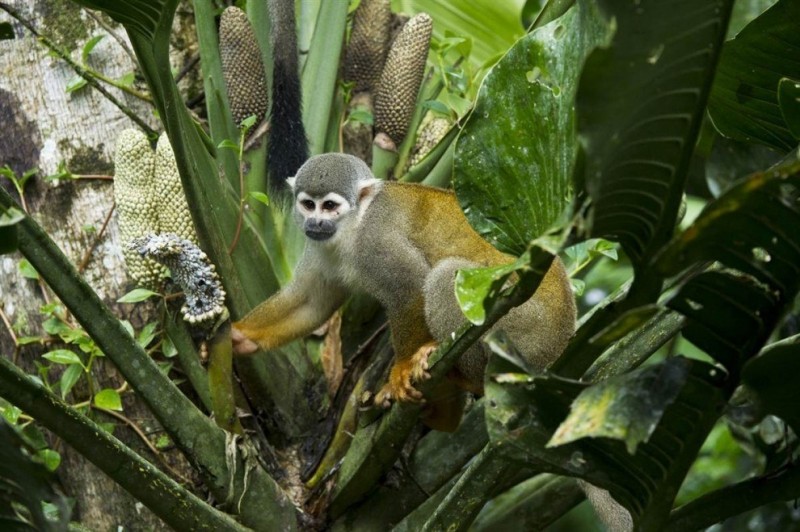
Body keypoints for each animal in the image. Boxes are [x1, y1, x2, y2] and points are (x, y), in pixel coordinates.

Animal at [231, 153, 576, 428]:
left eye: (329, 206)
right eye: (308, 204)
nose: (314, 223)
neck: (354, 225)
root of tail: (559, 346)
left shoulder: (375, 240)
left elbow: (411, 288)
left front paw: (401, 369)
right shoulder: (321, 246)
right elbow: (312, 302)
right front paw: (240, 337)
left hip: (523, 326)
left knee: (446, 277)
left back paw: (466, 377)